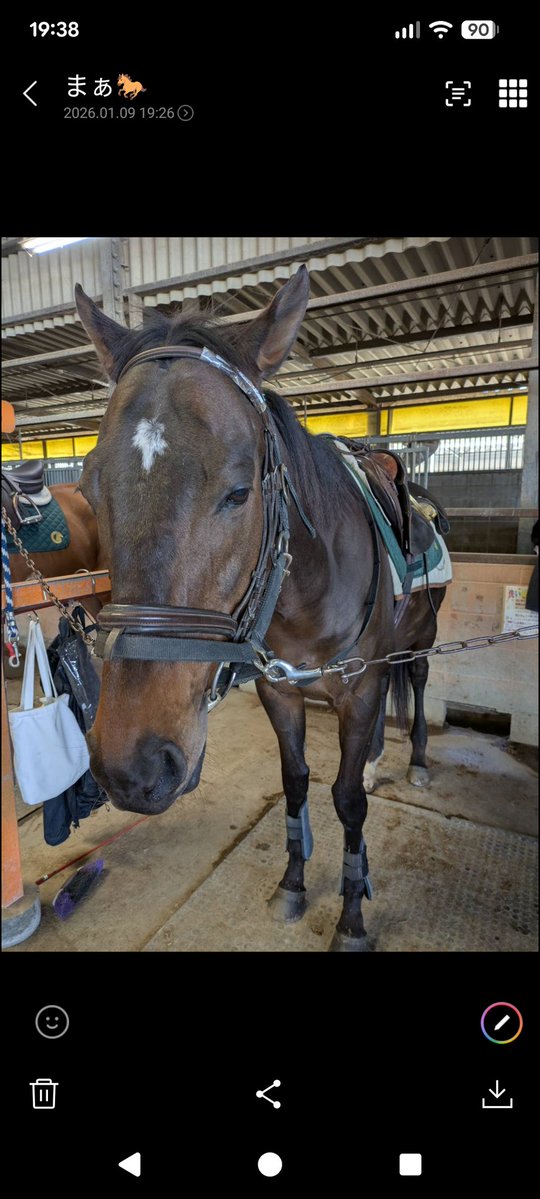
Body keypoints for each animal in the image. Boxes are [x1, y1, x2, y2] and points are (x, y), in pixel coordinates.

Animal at [74, 268, 447, 952]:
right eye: (88, 489)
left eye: (240, 491)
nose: (132, 767)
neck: (311, 587)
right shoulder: (281, 689)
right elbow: (296, 781)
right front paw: (293, 884)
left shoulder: (359, 686)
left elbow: (347, 800)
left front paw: (352, 914)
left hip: (422, 641)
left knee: (420, 686)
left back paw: (414, 763)